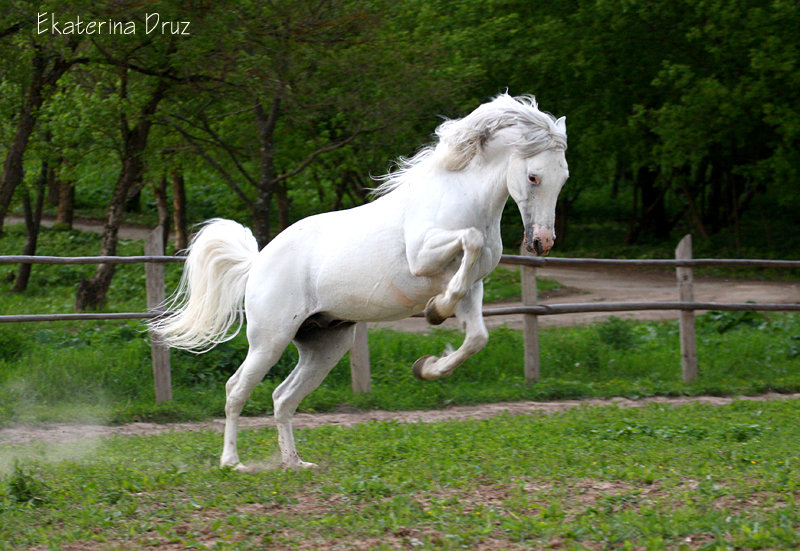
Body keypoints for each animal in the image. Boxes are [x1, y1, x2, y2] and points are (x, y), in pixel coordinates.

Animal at [152, 94, 568, 470]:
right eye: (533, 176)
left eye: (563, 177)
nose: (541, 243)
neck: (460, 194)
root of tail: (258, 262)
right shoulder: (424, 257)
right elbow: (471, 240)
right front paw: (436, 311)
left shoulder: (472, 285)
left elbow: (476, 337)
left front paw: (427, 365)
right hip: (270, 340)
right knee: (236, 389)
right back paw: (232, 462)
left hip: (326, 344)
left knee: (283, 397)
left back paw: (295, 463)